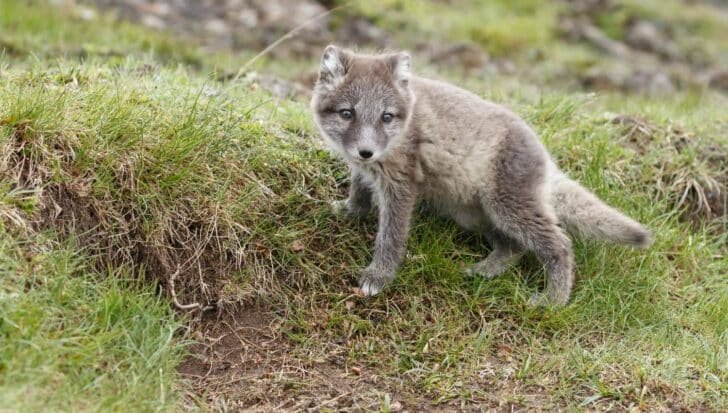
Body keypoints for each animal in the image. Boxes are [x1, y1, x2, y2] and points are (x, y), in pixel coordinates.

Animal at [310, 45, 652, 306]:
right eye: (347, 113)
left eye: (386, 117)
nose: (366, 151)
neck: (402, 131)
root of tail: (545, 157)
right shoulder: (363, 171)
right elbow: (359, 191)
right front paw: (348, 211)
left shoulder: (402, 185)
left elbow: (391, 236)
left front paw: (379, 276)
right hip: (477, 213)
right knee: (514, 248)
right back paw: (485, 270)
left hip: (508, 207)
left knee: (560, 244)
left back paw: (552, 301)